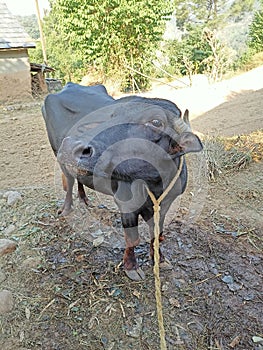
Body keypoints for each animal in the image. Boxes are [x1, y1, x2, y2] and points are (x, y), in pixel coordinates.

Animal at [42, 83, 203, 280]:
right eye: (113, 114)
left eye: (156, 122)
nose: (71, 145)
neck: (153, 184)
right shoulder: (126, 204)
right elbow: (132, 238)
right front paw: (131, 266)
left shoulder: (165, 205)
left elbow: (157, 234)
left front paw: (160, 259)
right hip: (57, 155)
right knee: (70, 181)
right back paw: (66, 209)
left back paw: (84, 199)